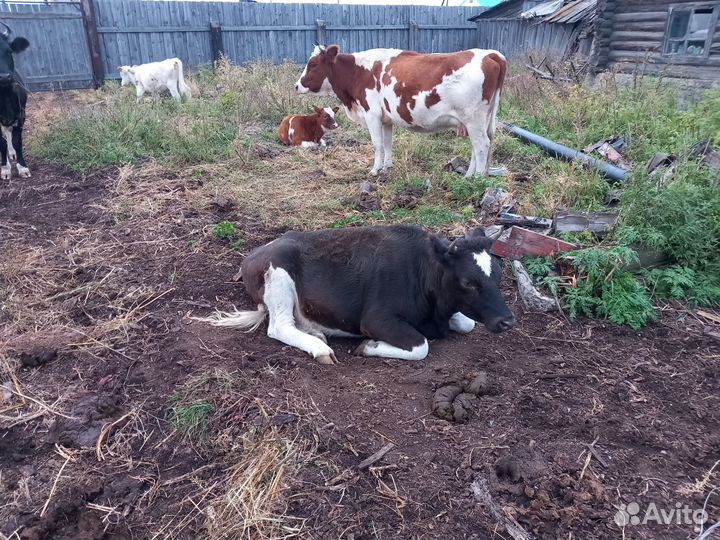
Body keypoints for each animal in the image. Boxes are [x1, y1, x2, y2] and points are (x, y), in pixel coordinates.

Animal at [201, 225, 515, 364]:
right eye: (468, 282)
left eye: (498, 274)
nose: (507, 321)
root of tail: (253, 255)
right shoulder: (376, 319)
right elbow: (421, 346)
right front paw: (369, 346)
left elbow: (467, 323)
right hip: (278, 274)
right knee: (279, 326)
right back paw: (319, 348)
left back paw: (316, 333)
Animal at [294, 45, 506, 178]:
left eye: (312, 64)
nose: (296, 86)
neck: (358, 72)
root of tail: (490, 54)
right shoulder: (386, 119)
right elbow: (388, 143)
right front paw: (387, 168)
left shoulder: (372, 114)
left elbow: (377, 144)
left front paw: (375, 170)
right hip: (479, 120)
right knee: (479, 145)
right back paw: (470, 175)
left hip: (473, 119)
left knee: (482, 145)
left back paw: (477, 179)